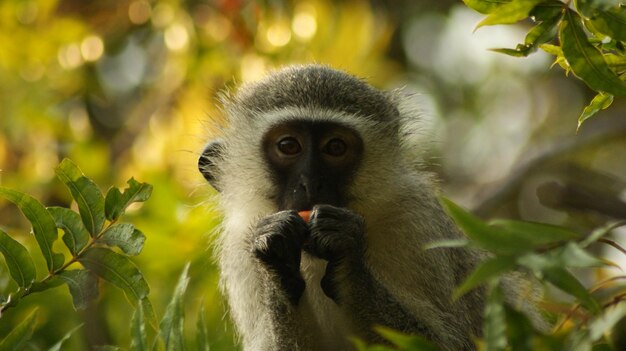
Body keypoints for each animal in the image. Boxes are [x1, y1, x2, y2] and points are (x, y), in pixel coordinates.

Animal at [199, 64, 536, 350]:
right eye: (288, 146)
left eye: (336, 147)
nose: (311, 183)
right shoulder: (240, 244)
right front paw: (277, 256)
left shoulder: (415, 220)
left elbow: (445, 342)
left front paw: (347, 255)